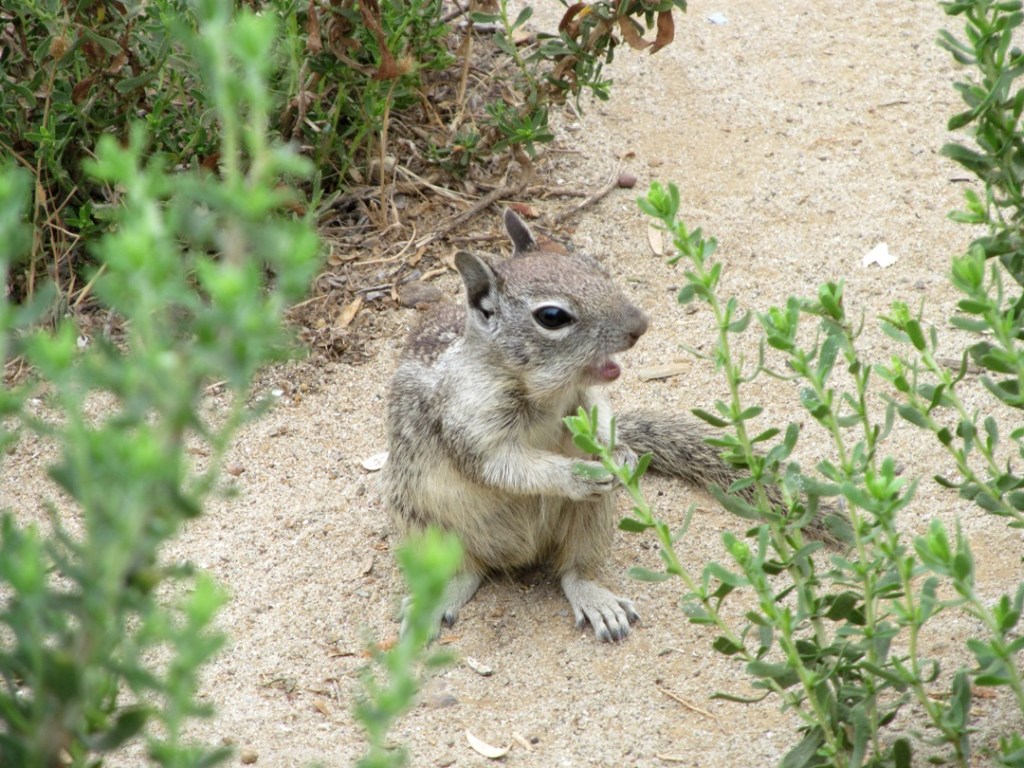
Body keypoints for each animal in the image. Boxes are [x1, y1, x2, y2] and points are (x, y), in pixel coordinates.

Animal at [382, 208, 844, 642]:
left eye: (593, 266)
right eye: (552, 316)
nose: (640, 326)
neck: (545, 393)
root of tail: (516, 557)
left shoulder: (585, 399)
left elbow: (602, 416)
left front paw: (619, 452)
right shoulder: (470, 421)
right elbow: (503, 465)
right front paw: (578, 474)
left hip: (592, 520)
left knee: (573, 570)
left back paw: (596, 599)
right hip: (425, 527)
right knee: (464, 571)